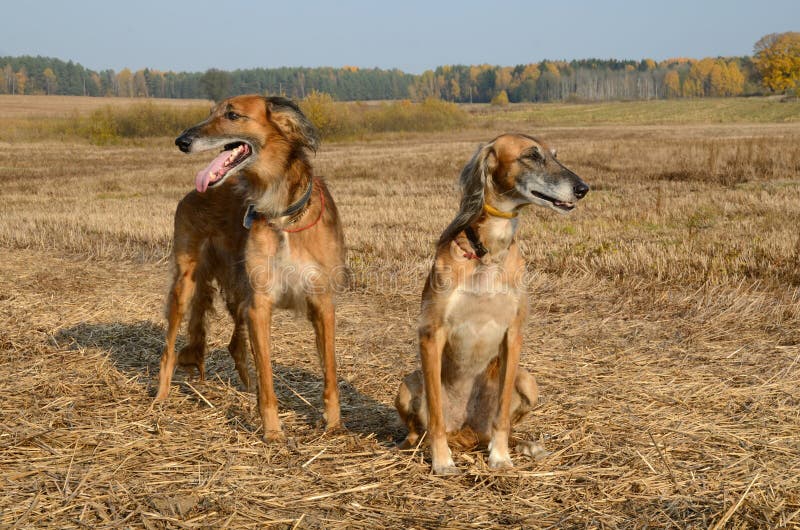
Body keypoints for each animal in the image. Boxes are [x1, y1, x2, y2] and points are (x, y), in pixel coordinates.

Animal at [155, 95, 346, 438]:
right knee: (169, 349)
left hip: (236, 292)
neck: (282, 213)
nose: (181, 141)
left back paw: (245, 388)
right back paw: (160, 399)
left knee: (235, 346)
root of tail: (192, 193)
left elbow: (330, 372)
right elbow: (267, 377)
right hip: (186, 285)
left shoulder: (322, 302)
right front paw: (272, 432)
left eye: (232, 115)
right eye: (210, 113)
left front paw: (334, 425)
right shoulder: (260, 304)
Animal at [396, 134, 588, 472]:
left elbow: (502, 417)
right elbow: (435, 416)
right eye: (531, 156)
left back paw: (522, 445)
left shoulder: (513, 334)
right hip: (407, 385)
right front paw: (441, 460)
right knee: (421, 429)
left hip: (528, 381)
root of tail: (466, 430)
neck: (488, 253)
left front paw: (500, 456)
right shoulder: (431, 334)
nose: (583, 188)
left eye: (554, 155)